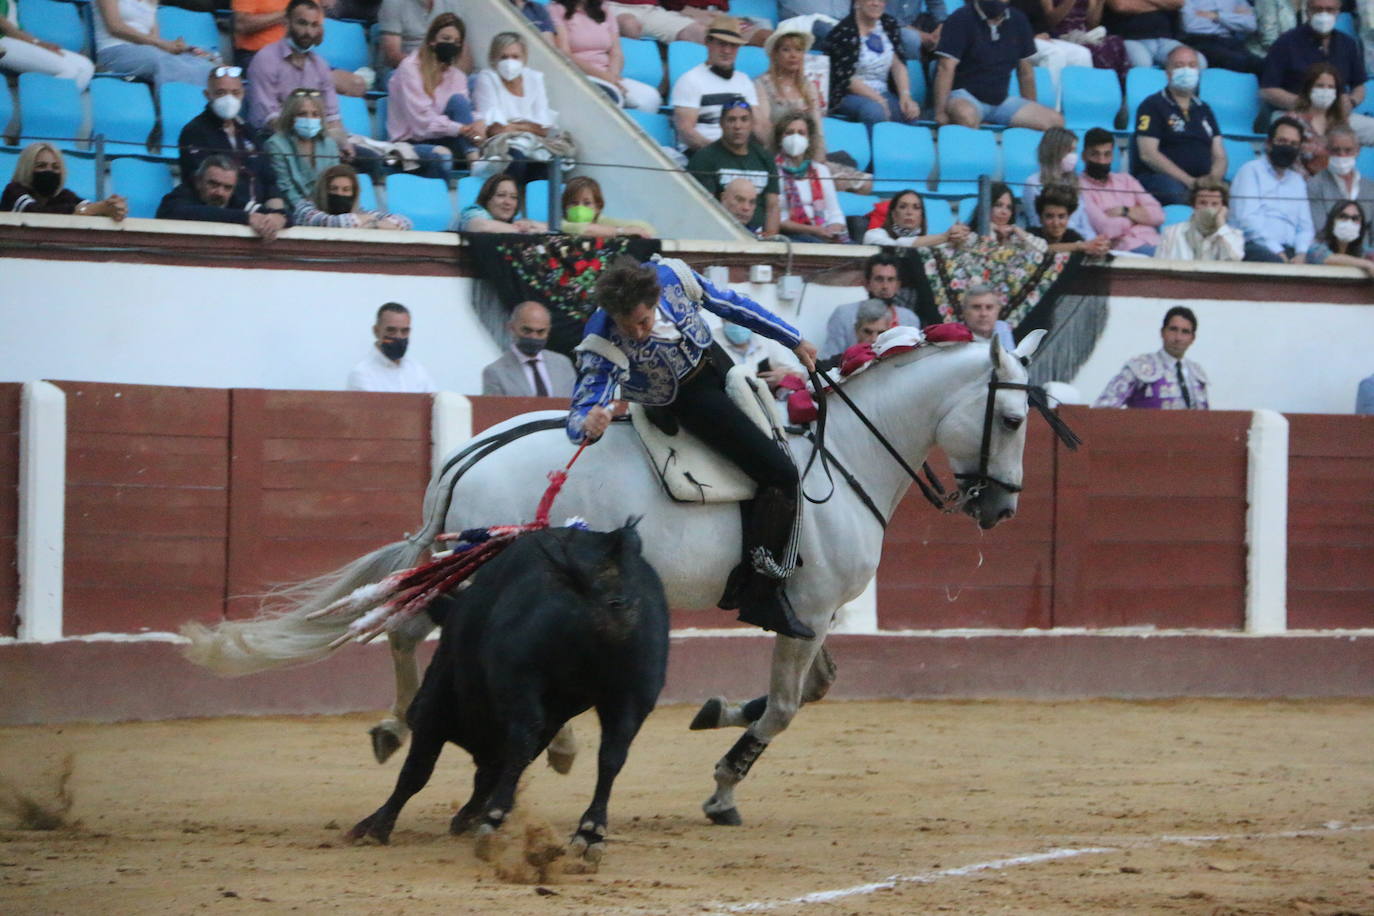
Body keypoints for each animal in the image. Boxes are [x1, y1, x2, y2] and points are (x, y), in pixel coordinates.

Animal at [185, 329, 1049, 823]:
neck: (844, 452)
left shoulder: (813, 613)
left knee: (402, 627)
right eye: (1013, 418)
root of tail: (470, 453)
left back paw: (416, 730)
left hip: (467, 571)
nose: (1003, 506)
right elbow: (786, 707)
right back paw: (450, 735)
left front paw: (712, 713)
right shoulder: (808, 606)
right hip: (483, 578)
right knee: (412, 632)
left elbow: (808, 692)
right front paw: (723, 789)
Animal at [348, 521, 670, 862]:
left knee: (522, 740)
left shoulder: (434, 710)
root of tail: (604, 583)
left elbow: (417, 772)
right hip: (633, 694)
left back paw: (495, 819)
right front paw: (465, 817)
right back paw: (590, 832)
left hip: (521, 681)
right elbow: (491, 772)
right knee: (611, 754)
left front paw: (375, 827)